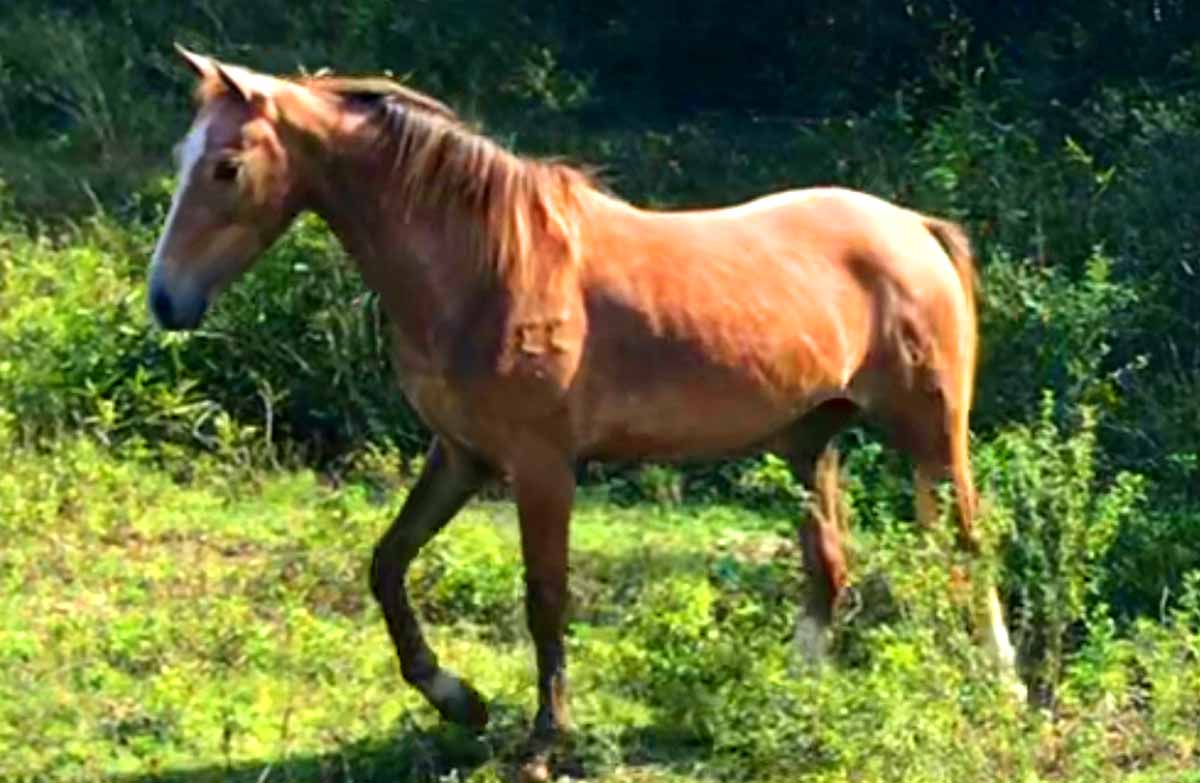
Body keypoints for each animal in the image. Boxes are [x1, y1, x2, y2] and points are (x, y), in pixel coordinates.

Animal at [150, 45, 1024, 780]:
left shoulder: (542, 468)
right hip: (810, 442)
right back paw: (792, 694)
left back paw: (1004, 686)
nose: (166, 300)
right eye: (181, 157)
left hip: (931, 433)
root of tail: (915, 228)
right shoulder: (460, 454)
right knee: (829, 565)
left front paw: (544, 739)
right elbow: (388, 564)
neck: (486, 268)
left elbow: (545, 597)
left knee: (968, 545)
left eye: (227, 166)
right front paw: (459, 698)